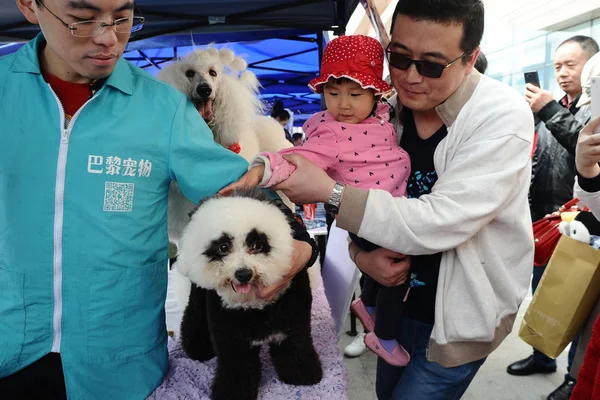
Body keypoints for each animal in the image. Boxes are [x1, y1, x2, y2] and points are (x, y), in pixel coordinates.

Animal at [175, 188, 322, 400]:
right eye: (223, 247)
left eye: (257, 245)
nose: (243, 274)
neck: (254, 306)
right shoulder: (230, 334)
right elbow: (238, 367)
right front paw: (232, 393)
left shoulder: (292, 321)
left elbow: (294, 346)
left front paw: (303, 374)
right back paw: (197, 347)